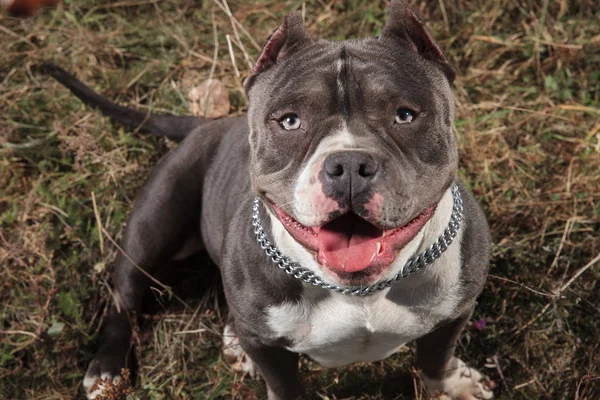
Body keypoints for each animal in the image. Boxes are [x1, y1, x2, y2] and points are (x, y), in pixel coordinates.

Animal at [41, 1, 492, 398]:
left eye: (405, 115)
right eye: (289, 121)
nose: (348, 165)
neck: (360, 292)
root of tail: (209, 124)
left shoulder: (455, 312)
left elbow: (434, 359)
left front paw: (452, 386)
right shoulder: (267, 347)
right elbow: (285, 384)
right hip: (152, 223)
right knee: (126, 296)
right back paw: (107, 368)